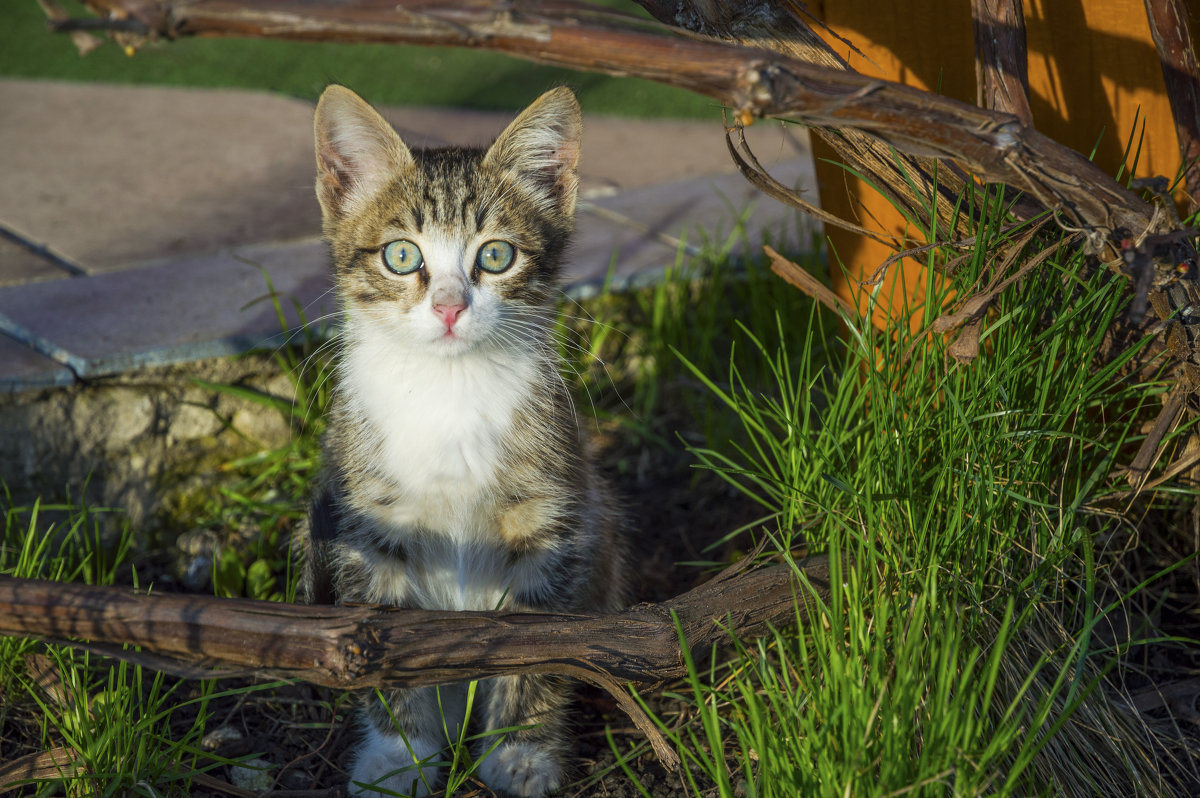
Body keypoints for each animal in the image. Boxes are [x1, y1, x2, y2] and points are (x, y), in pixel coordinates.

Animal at [300, 82, 628, 796]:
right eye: (401, 256)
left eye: (495, 255)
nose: (450, 307)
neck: (448, 391)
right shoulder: (366, 520)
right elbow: (377, 640)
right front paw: (399, 756)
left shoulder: (555, 517)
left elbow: (540, 642)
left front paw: (521, 753)